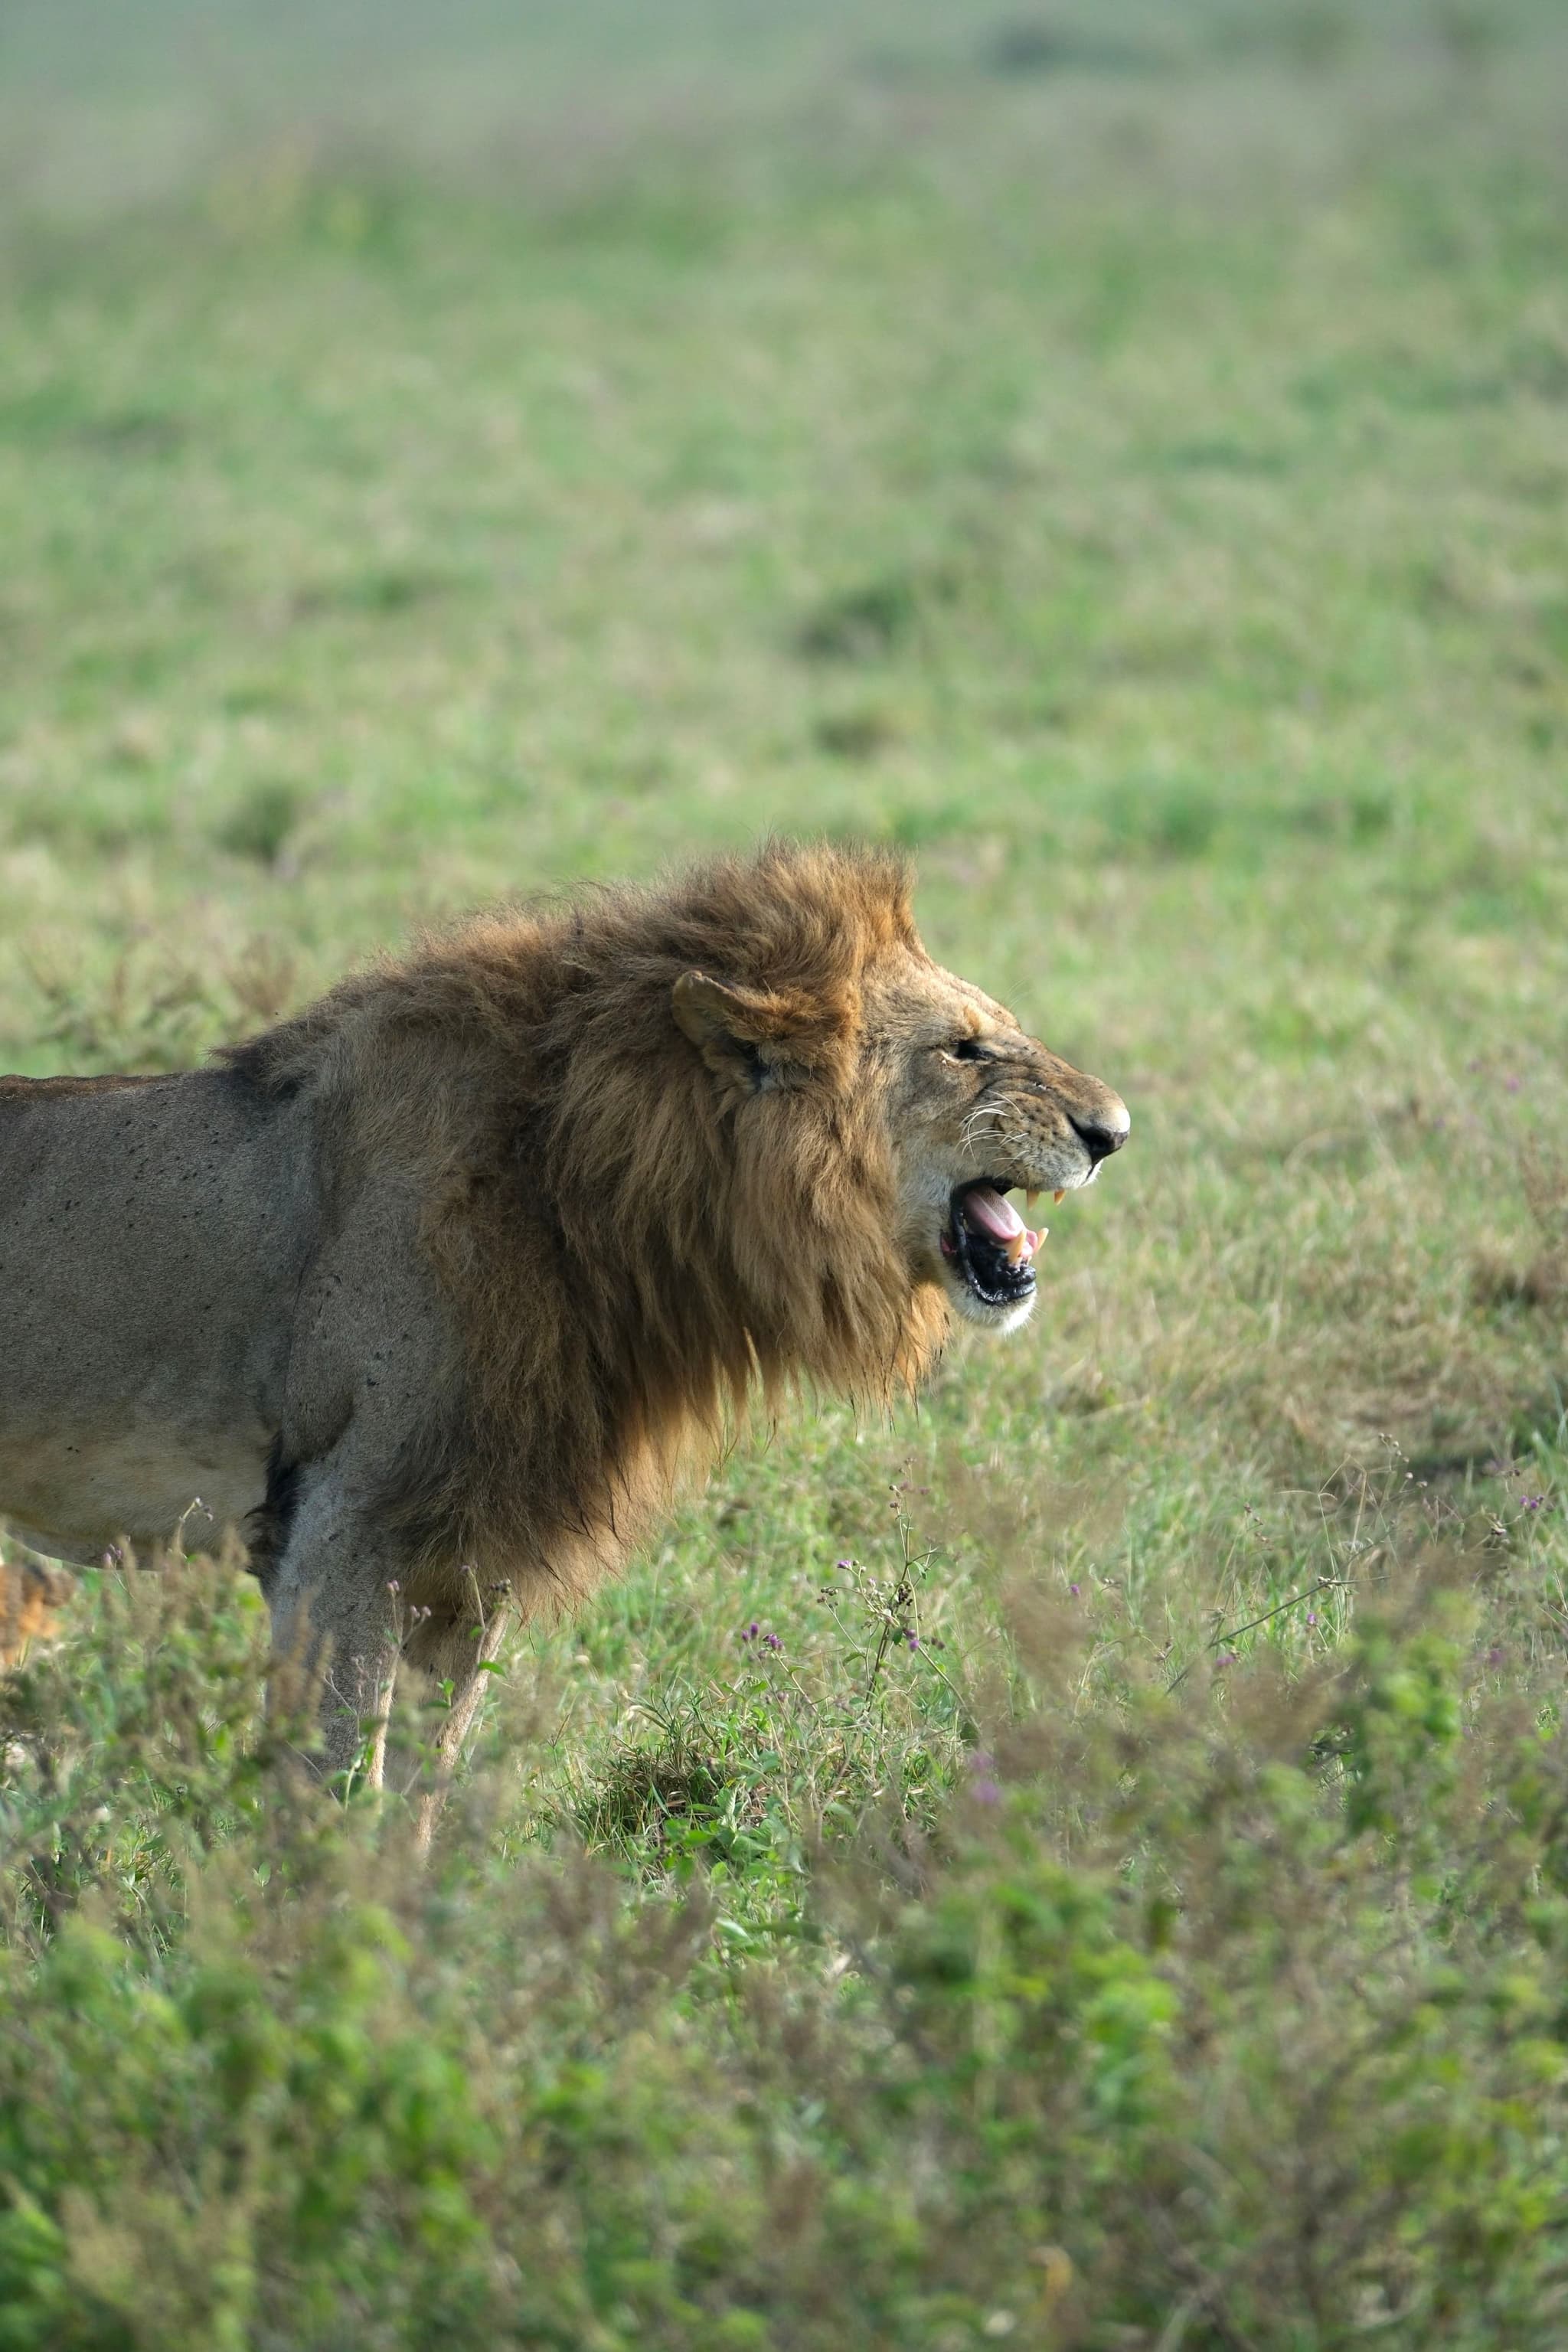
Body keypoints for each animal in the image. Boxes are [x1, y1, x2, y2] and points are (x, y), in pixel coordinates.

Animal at [0, 842, 1127, 1796]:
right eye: (964, 1050)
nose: (1113, 1132)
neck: (582, 1188)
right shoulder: (335, 1523)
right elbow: (331, 1786)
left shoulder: (468, 1554)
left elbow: (419, 1789)